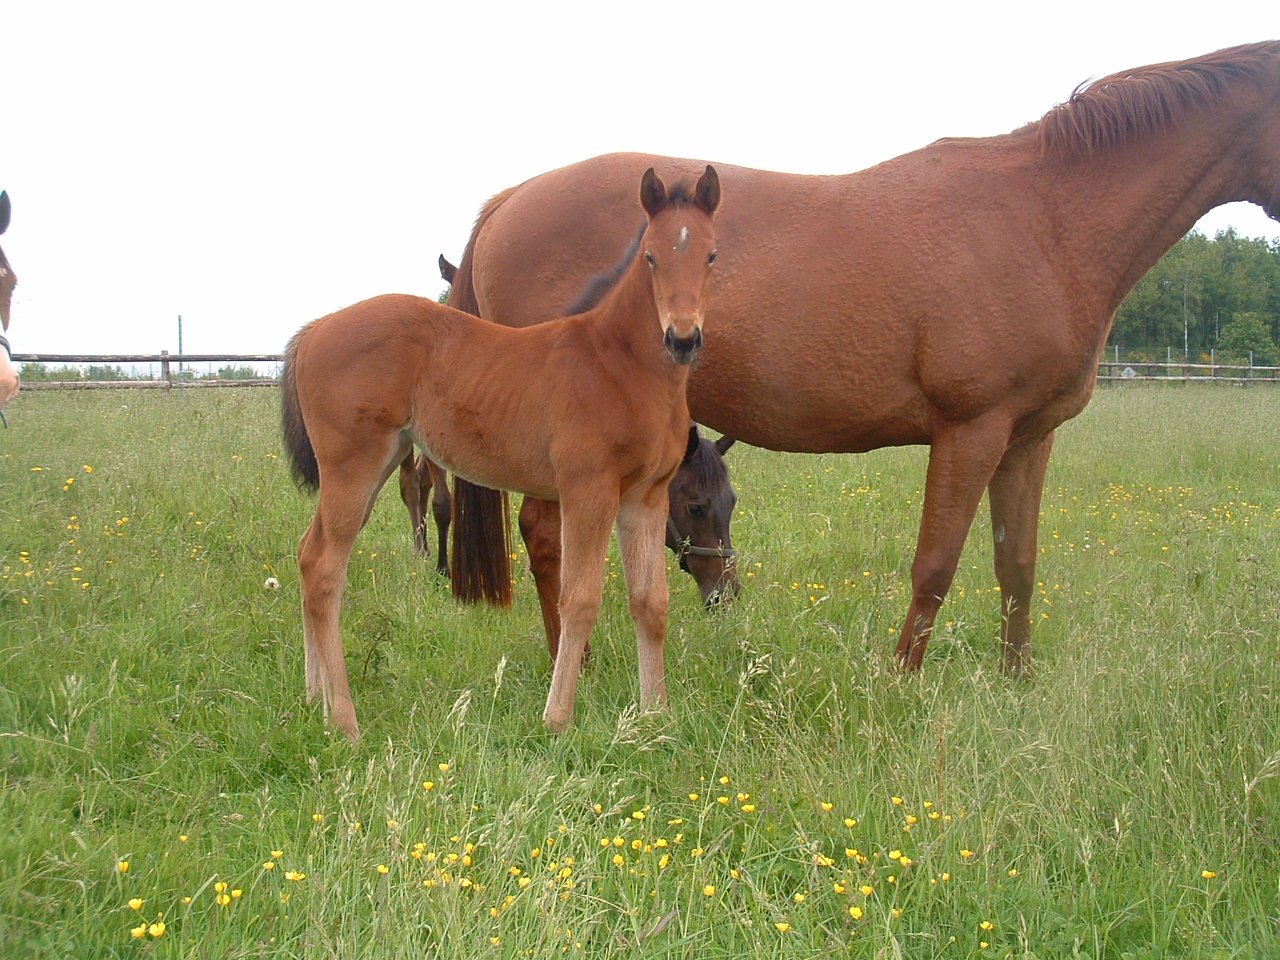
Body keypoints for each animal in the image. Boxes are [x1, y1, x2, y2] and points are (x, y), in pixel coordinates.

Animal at [281, 165, 722, 739]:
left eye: (711, 255)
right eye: (650, 256)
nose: (682, 338)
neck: (617, 364)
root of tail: (315, 331)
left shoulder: (644, 497)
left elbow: (650, 601)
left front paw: (655, 717)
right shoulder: (588, 489)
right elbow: (579, 598)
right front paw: (557, 720)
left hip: (377, 464)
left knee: (308, 556)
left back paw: (314, 698)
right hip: (352, 468)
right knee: (325, 568)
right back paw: (345, 720)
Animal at [444, 41, 1280, 677]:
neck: (1044, 218)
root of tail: (508, 202)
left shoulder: (1028, 438)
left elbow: (1017, 566)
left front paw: (1015, 686)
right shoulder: (970, 431)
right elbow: (936, 564)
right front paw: (901, 685)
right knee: (546, 534)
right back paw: (574, 664)